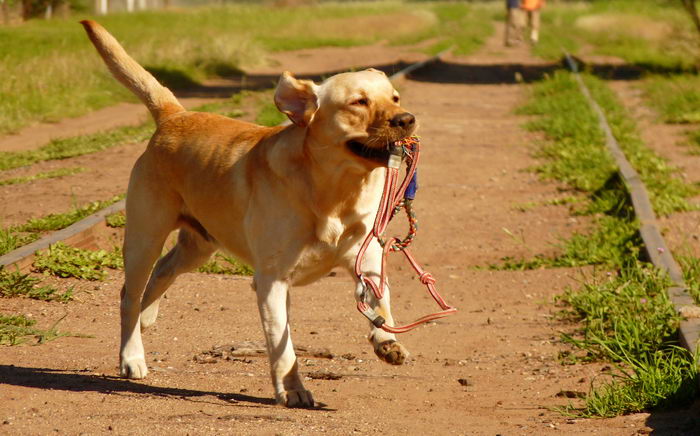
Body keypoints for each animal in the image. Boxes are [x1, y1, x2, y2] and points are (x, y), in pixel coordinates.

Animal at [85, 19, 418, 408]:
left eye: (395, 98)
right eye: (359, 102)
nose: (407, 119)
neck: (335, 191)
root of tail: (175, 114)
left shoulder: (368, 259)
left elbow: (379, 303)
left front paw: (387, 342)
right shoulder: (272, 280)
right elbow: (283, 347)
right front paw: (292, 389)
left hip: (199, 244)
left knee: (163, 272)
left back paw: (146, 316)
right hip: (144, 237)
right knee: (129, 295)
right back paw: (132, 356)